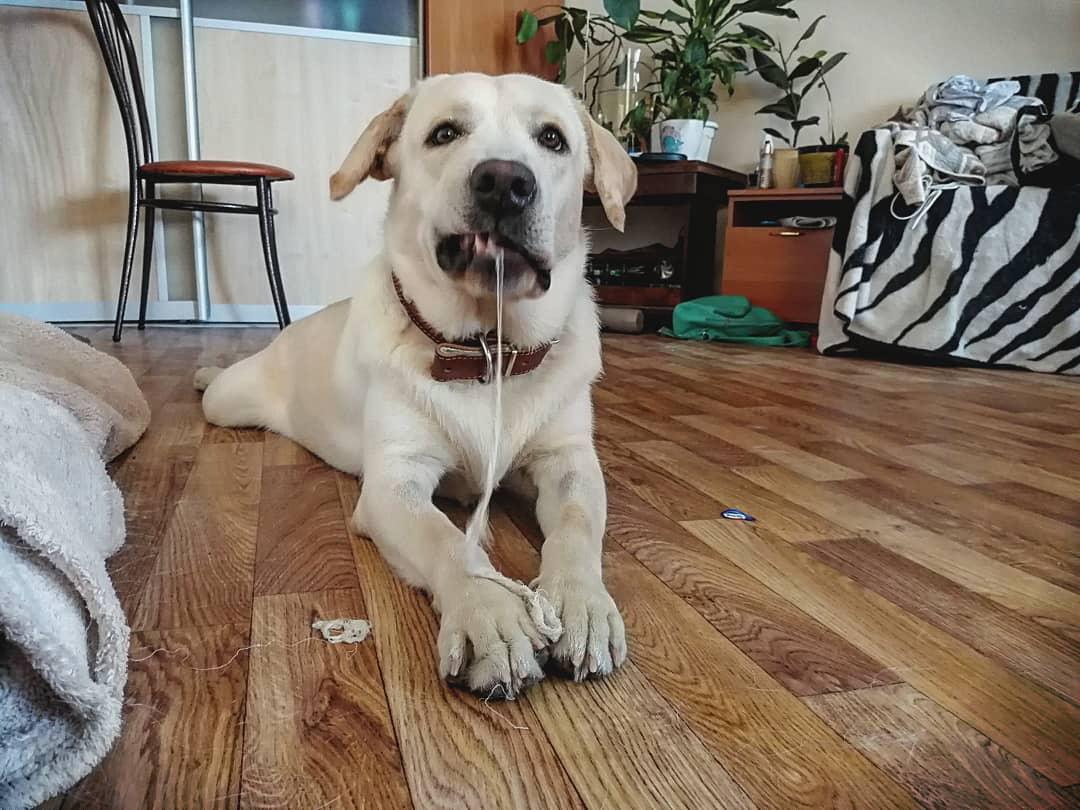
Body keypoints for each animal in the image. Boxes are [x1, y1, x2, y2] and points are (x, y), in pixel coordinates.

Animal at [196, 74, 630, 699]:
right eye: (444, 133)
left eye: (552, 138)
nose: (505, 182)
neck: (487, 350)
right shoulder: (394, 481)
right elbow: (447, 541)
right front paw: (491, 616)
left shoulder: (568, 460)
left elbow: (576, 527)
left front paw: (581, 604)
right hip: (227, 402)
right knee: (219, 383)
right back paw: (204, 370)